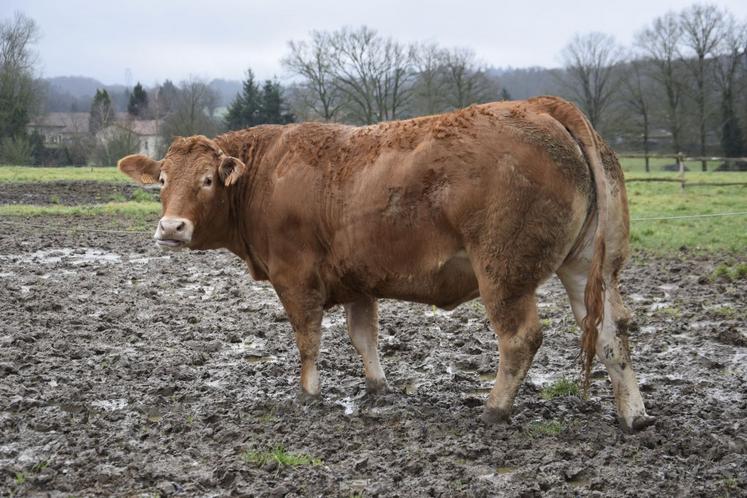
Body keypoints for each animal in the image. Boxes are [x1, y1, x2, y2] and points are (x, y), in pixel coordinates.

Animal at [117, 96, 656, 432]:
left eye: (207, 179)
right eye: (162, 179)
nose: (171, 228)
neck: (266, 174)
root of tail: (542, 105)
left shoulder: (295, 277)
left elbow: (308, 338)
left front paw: (308, 394)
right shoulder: (358, 280)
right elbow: (364, 336)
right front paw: (378, 388)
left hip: (503, 273)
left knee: (521, 337)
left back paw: (494, 409)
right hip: (588, 267)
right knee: (612, 331)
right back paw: (633, 414)